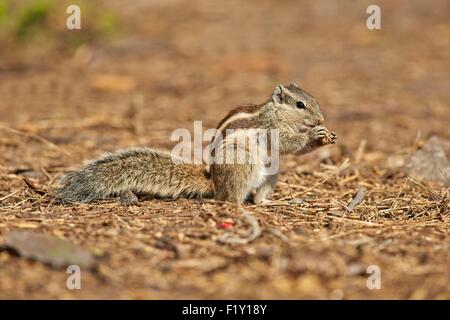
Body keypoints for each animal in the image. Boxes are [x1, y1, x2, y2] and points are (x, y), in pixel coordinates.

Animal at [55, 84, 334, 205]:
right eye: (300, 104)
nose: (321, 119)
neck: (277, 112)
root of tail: (214, 182)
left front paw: (325, 136)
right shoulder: (270, 128)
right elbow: (288, 143)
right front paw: (314, 134)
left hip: (272, 173)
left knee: (257, 197)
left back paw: (272, 203)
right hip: (242, 166)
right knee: (229, 199)